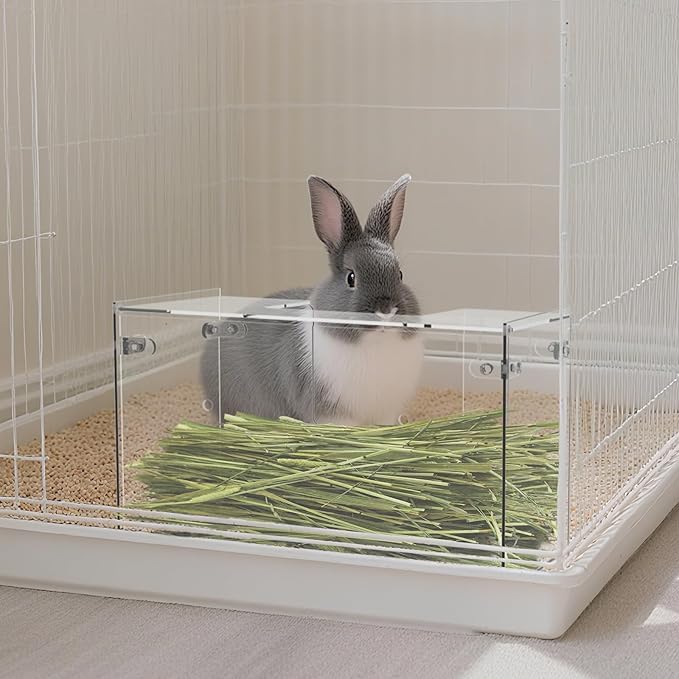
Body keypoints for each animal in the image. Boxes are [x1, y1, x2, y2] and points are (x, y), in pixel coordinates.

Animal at [200, 174, 423, 426]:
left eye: (400, 274)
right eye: (351, 277)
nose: (386, 310)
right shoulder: (332, 413)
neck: (375, 344)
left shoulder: (386, 412)